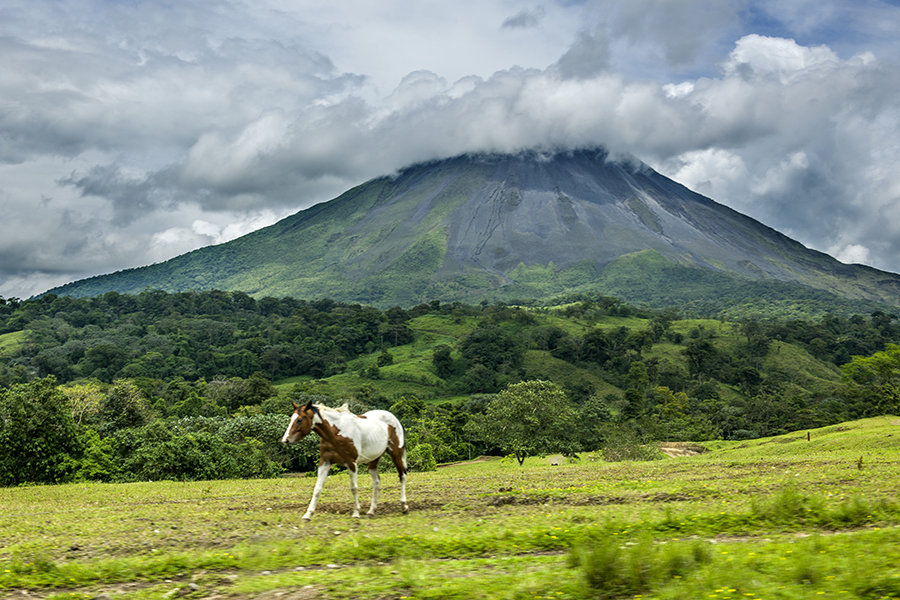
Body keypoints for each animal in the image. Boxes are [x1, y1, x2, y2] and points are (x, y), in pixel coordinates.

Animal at [280, 404, 410, 520]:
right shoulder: (325, 462)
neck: (335, 432)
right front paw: (308, 514)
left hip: (396, 453)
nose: (285, 440)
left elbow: (354, 488)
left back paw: (404, 506)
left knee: (402, 476)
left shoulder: (351, 463)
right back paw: (371, 511)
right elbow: (317, 489)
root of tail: (393, 418)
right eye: (291, 419)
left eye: (299, 420)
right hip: (374, 459)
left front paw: (356, 513)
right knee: (376, 481)